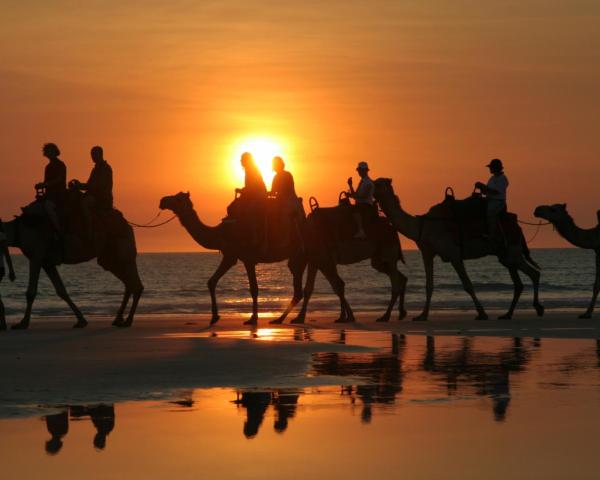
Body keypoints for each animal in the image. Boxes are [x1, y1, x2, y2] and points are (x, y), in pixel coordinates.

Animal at [0, 210, 143, 330]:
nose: (10, 274)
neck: (19, 231)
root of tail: (128, 226)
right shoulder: (47, 263)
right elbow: (61, 291)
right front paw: (81, 321)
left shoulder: (36, 256)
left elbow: (31, 292)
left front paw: (22, 323)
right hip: (110, 258)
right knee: (129, 284)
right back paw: (118, 319)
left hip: (121, 251)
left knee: (136, 285)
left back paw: (127, 321)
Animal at [158, 192, 308, 326]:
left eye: (177, 198)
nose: (162, 200)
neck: (221, 234)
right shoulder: (230, 255)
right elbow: (211, 282)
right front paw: (214, 317)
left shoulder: (246, 258)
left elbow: (254, 289)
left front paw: (252, 319)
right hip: (299, 256)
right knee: (299, 290)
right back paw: (282, 319)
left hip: (300, 255)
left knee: (299, 289)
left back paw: (283, 319)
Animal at [376, 178, 544, 320]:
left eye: (377, 183)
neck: (422, 226)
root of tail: (518, 227)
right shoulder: (427, 252)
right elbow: (429, 285)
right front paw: (422, 316)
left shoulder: (454, 255)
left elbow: (468, 285)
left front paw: (482, 313)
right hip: (505, 255)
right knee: (519, 282)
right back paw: (508, 314)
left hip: (512, 251)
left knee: (534, 274)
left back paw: (538, 308)